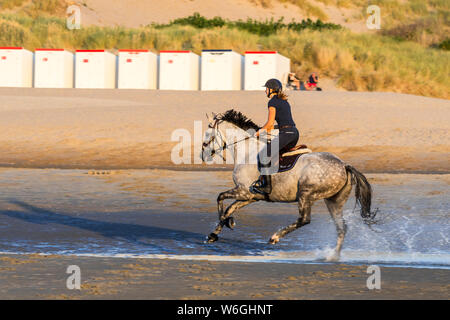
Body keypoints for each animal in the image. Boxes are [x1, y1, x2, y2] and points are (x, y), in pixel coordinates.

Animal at [201, 110, 376, 260]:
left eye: (207, 134)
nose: (203, 156)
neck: (247, 152)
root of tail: (344, 165)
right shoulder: (250, 196)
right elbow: (229, 208)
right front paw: (216, 232)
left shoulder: (243, 191)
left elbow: (220, 198)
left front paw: (225, 224)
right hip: (334, 201)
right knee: (341, 228)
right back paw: (333, 256)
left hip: (306, 194)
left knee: (305, 219)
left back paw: (275, 237)